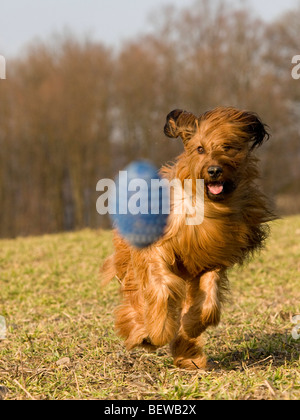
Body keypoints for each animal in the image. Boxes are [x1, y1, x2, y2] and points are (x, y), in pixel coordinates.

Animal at [102, 106, 276, 370]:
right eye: (200, 149)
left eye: (228, 147)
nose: (214, 170)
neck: (207, 205)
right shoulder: (156, 250)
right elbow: (161, 288)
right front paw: (158, 332)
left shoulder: (211, 261)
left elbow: (208, 304)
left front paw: (191, 326)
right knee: (135, 294)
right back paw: (140, 332)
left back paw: (188, 355)